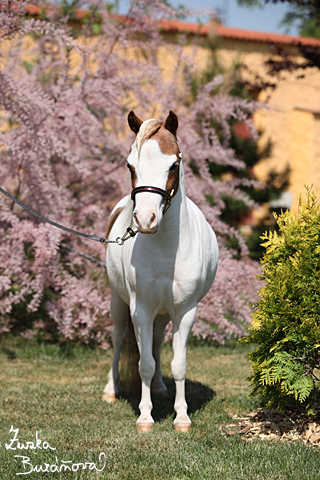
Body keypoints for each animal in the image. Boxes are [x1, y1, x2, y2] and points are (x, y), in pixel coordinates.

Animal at [104, 110, 219, 434]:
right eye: (130, 165)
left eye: (173, 165)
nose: (145, 219)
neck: (167, 248)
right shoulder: (140, 309)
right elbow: (144, 364)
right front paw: (145, 417)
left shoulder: (185, 312)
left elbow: (177, 365)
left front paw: (182, 417)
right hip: (117, 302)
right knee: (119, 339)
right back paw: (110, 390)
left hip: (164, 315)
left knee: (155, 343)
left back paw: (159, 389)